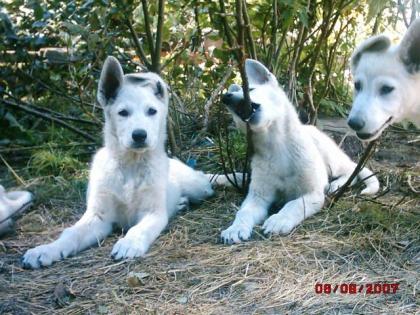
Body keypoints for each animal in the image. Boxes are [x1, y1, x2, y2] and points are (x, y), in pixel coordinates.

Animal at [22, 56, 213, 270]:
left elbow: (138, 229)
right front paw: (46, 249)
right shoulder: (99, 217)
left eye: (152, 111)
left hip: (200, 187)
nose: (139, 135)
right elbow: (71, 233)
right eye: (123, 113)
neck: (130, 165)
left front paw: (129, 244)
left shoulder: (152, 213)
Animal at [221, 60, 378, 246]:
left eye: (250, 89)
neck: (276, 145)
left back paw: (335, 185)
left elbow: (293, 205)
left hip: (330, 159)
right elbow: (243, 212)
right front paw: (235, 228)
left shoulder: (313, 194)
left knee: (351, 171)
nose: (225, 98)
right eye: (232, 112)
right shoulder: (258, 197)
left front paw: (278, 220)